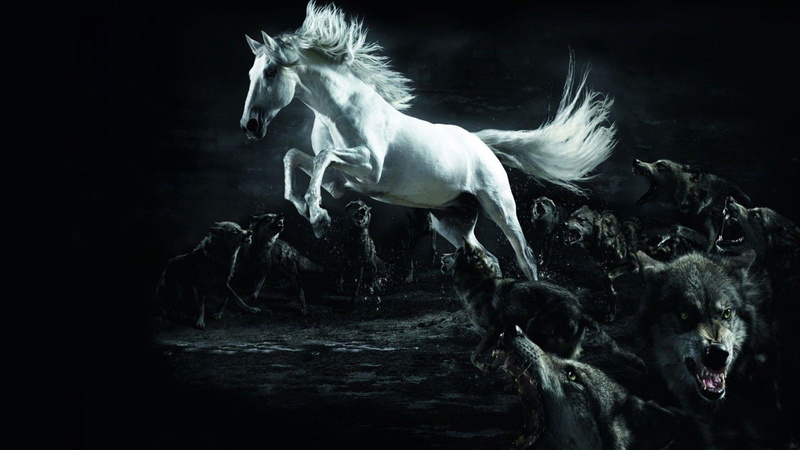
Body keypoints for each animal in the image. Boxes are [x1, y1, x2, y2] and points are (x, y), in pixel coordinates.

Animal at [239, 2, 615, 281]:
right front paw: (310, 212)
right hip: (452, 221)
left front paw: (317, 217)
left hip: (500, 208)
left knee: (526, 258)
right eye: (250, 73)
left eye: (270, 72)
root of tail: (480, 144)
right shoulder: (341, 181)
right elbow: (294, 157)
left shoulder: (369, 168)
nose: (249, 126)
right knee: (489, 257)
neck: (340, 109)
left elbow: (321, 157)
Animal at [441, 240, 587, 372]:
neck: (479, 283)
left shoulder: (495, 328)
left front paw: (483, 367)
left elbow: (473, 355)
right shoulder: (506, 330)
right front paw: (493, 367)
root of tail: (580, 311)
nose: (442, 255)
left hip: (533, 329)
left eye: (455, 254)